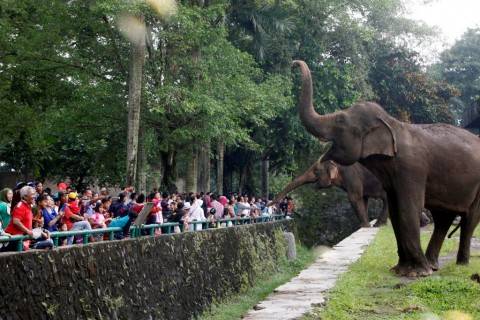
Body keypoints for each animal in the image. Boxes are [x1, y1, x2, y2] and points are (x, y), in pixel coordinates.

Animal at [290, 60, 480, 278]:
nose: (293, 63)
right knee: (443, 218)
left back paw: (458, 264)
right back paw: (434, 265)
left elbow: (408, 207)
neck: (392, 123)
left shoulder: (412, 168)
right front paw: (400, 270)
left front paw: (417, 273)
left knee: (470, 219)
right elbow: (396, 210)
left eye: (340, 121)